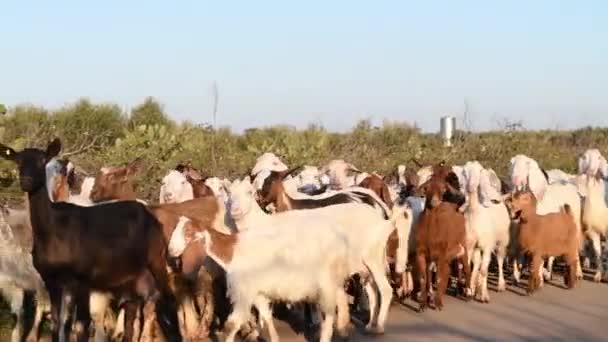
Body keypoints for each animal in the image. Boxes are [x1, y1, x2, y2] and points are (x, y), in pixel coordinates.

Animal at [169, 215, 354, 342]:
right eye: (174, 229)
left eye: (188, 231)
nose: (171, 251)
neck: (232, 252)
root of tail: (341, 239)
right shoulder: (257, 292)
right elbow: (266, 316)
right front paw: (274, 339)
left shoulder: (244, 292)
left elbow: (232, 325)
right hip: (333, 281)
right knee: (341, 301)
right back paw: (344, 328)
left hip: (326, 282)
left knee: (329, 315)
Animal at [464, 161, 510, 302]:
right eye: (465, 171)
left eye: (478, 171)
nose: (470, 187)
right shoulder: (469, 245)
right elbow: (469, 267)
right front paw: (470, 291)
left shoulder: (487, 246)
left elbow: (484, 270)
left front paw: (483, 295)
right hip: (478, 246)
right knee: (478, 264)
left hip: (501, 241)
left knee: (500, 260)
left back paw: (500, 285)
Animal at [508, 155, 584, 284]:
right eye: (512, 164)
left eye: (527, 165)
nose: (516, 179)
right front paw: (517, 275)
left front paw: (538, 277)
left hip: (575, 221)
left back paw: (577, 273)